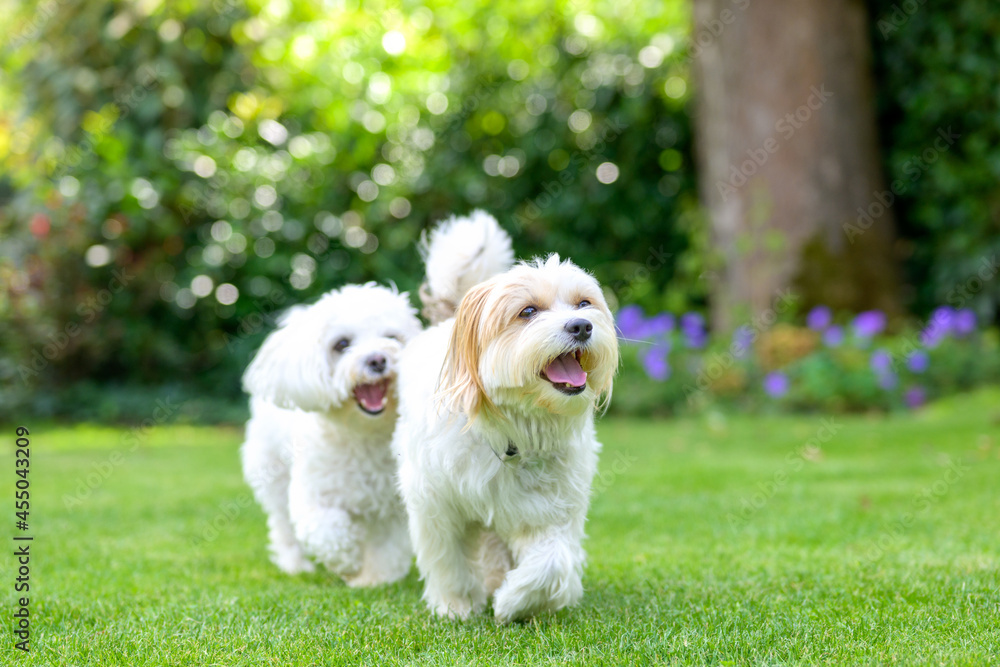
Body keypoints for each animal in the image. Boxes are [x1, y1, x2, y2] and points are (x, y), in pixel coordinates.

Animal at [243, 284, 422, 588]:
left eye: (391, 337)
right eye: (342, 344)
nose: (377, 359)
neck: (363, 434)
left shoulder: (392, 505)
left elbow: (387, 546)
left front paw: (376, 579)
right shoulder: (313, 496)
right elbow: (328, 530)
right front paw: (349, 563)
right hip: (272, 475)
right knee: (282, 526)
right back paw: (295, 564)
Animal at [392, 213, 616, 620]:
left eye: (584, 302)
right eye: (527, 312)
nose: (581, 325)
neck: (516, 431)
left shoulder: (550, 509)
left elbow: (554, 561)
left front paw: (515, 600)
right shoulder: (435, 504)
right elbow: (448, 560)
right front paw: (455, 605)